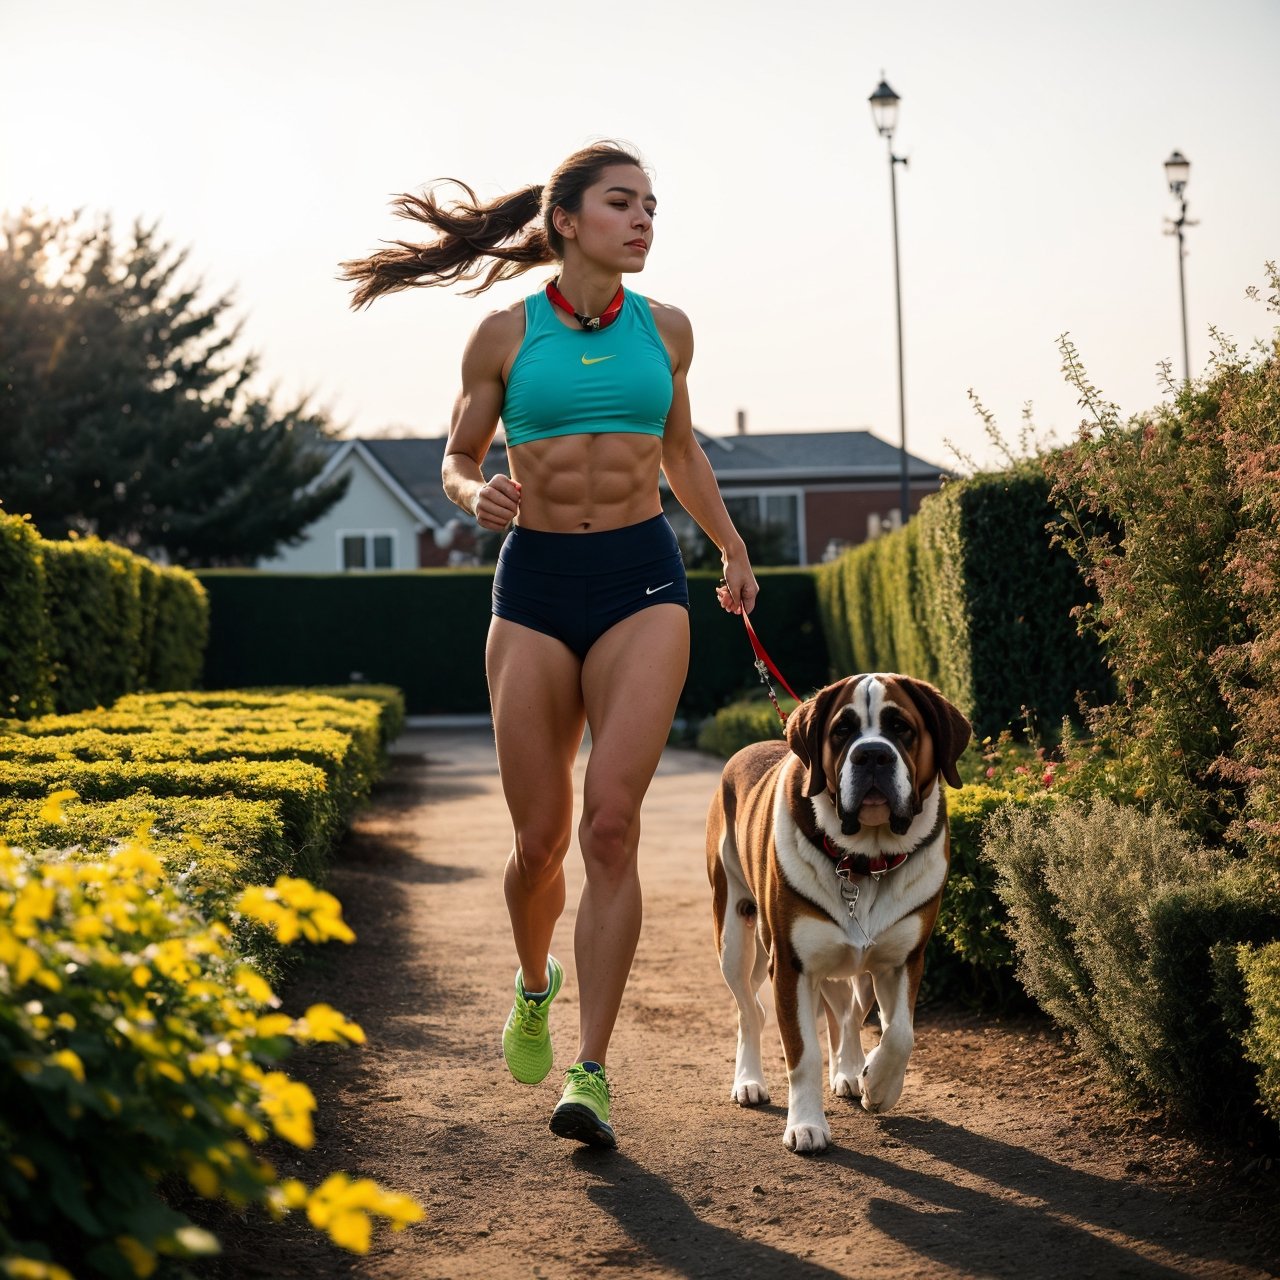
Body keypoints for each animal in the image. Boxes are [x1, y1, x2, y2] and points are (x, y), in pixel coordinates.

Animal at [701, 675, 967, 1157]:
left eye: (900, 727)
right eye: (843, 731)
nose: (872, 754)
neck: (864, 860)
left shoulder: (904, 959)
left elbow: (900, 1032)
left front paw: (878, 1085)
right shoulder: (792, 967)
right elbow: (802, 1053)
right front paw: (806, 1125)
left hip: (858, 968)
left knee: (847, 1012)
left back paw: (850, 1071)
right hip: (733, 936)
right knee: (751, 1012)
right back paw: (748, 1081)